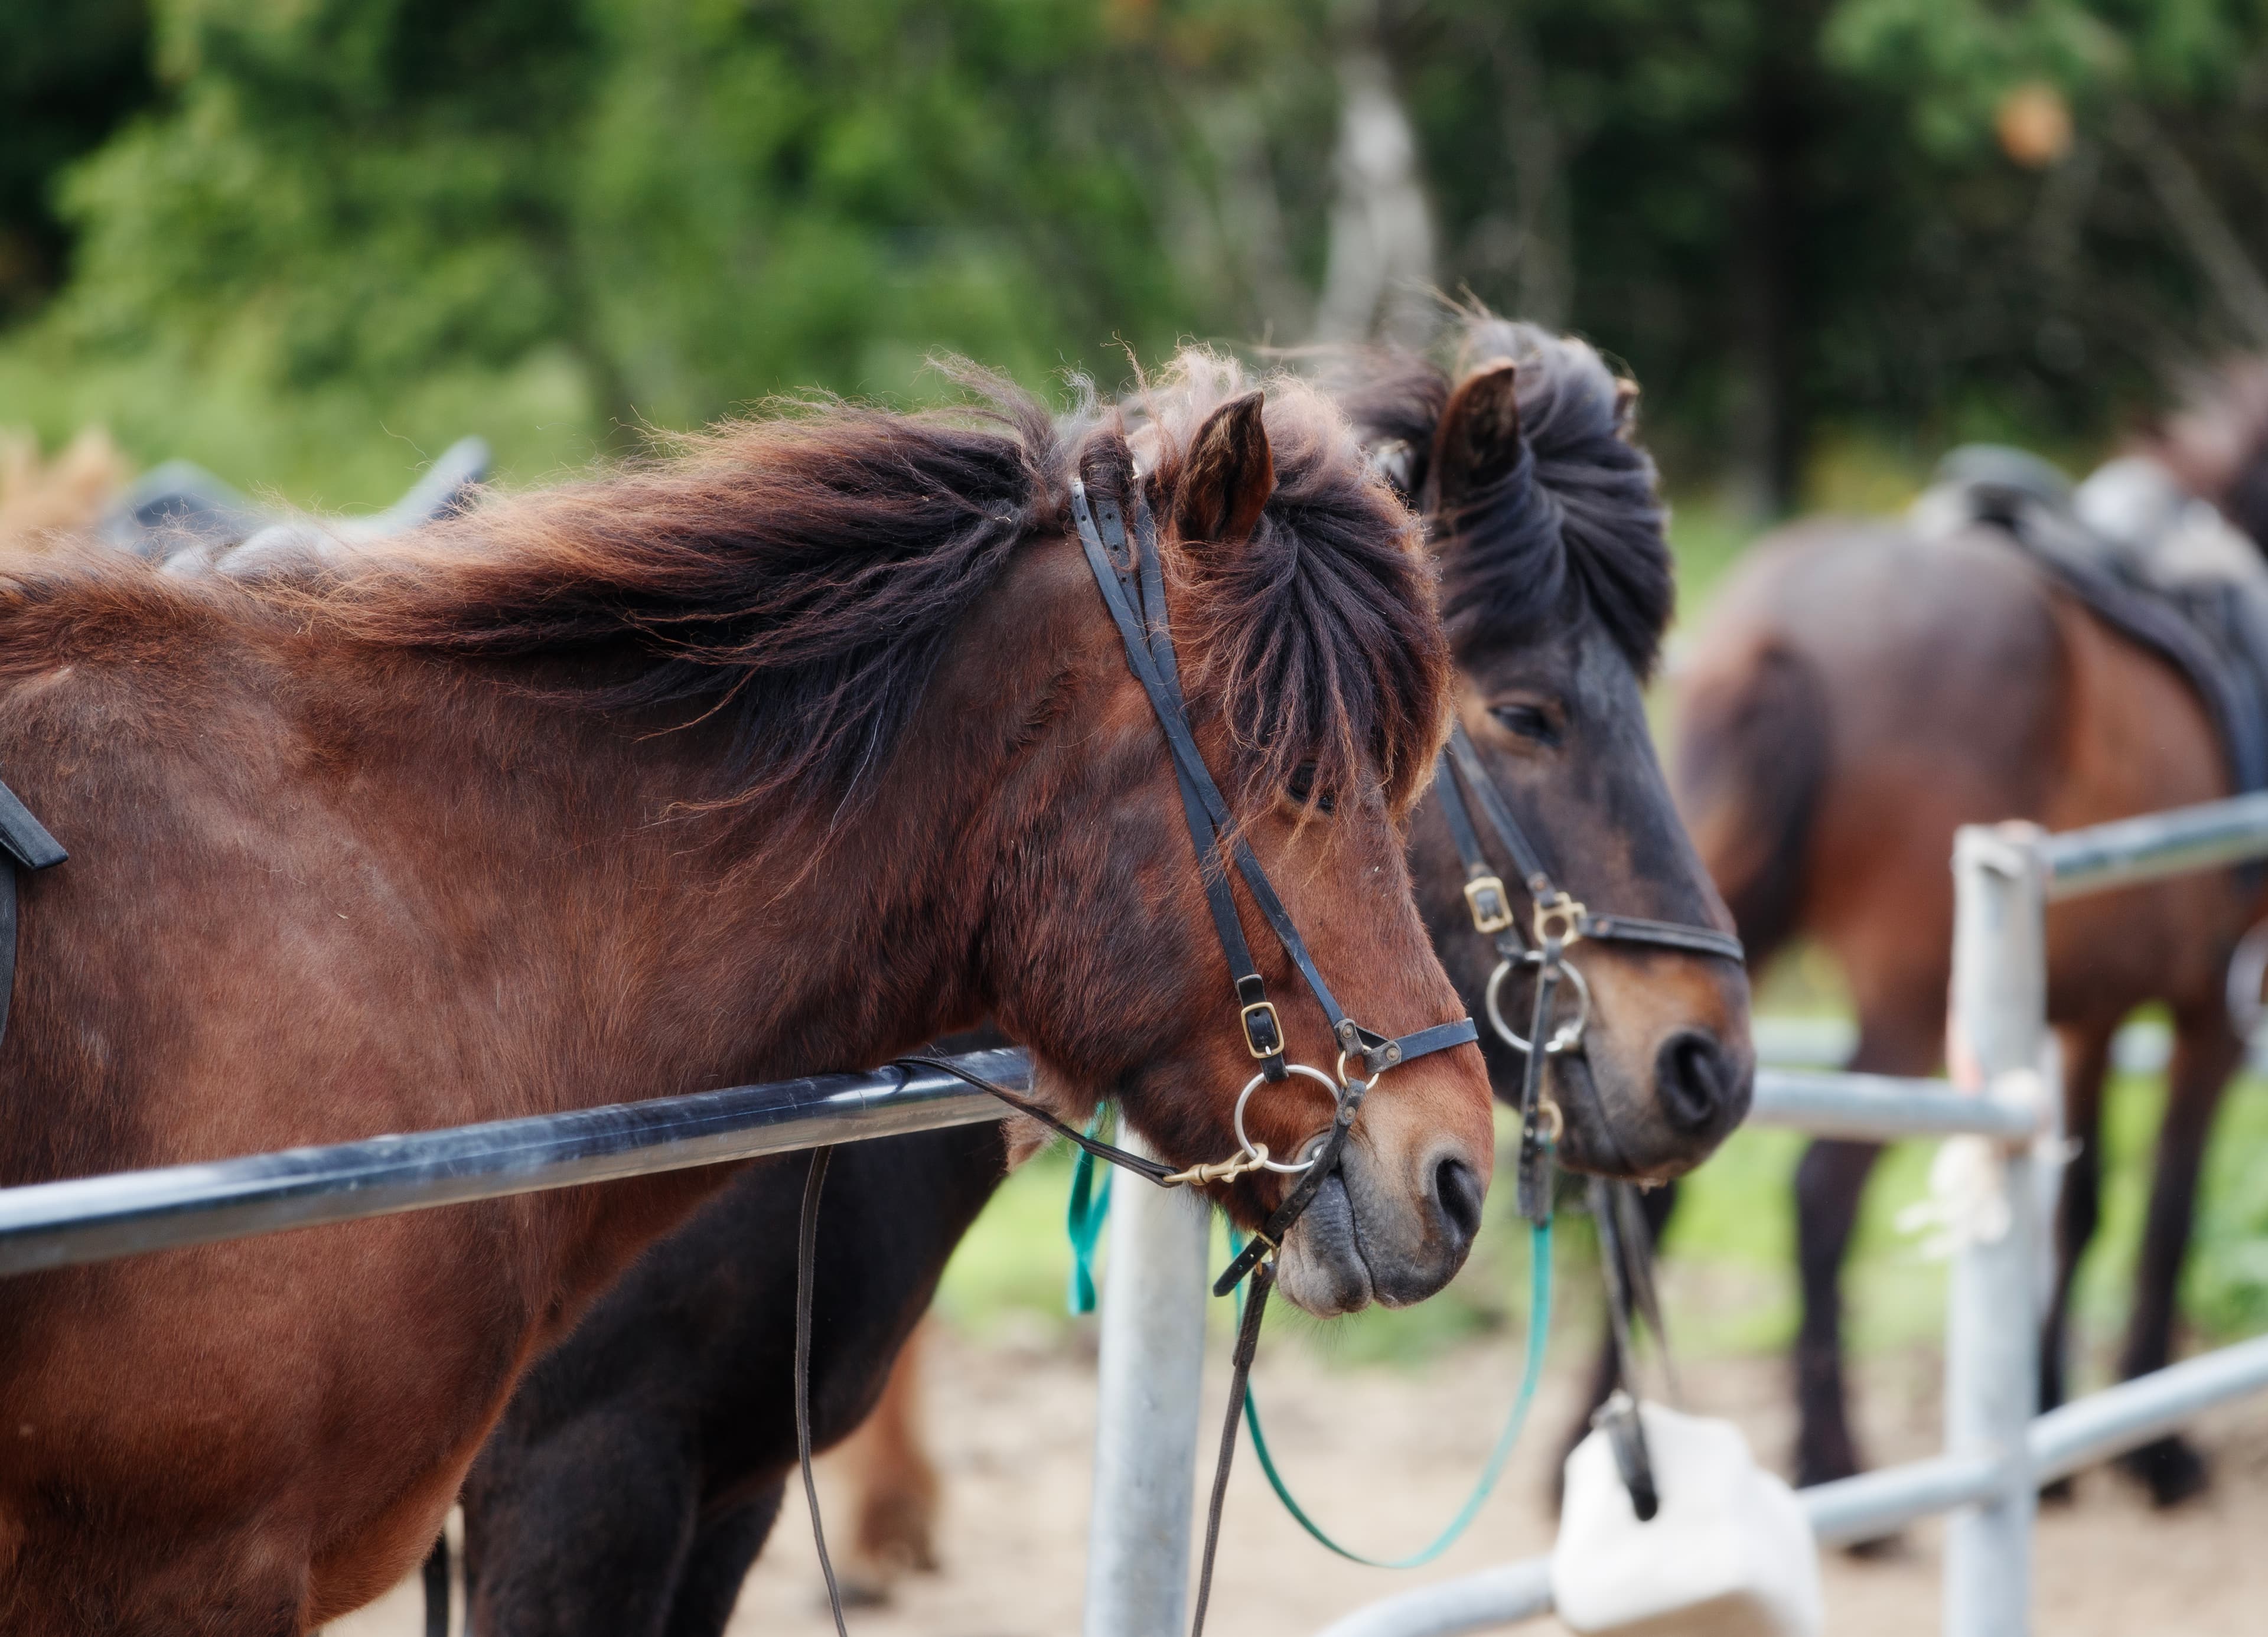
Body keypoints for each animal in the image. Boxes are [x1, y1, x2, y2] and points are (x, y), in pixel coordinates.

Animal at [1658, 358, 2268, 1508]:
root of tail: (1778, 632)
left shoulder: (2085, 1018)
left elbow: (2078, 1209)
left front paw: (2051, 1417)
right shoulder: (2211, 1016)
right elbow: (2162, 1217)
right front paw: (2153, 1448)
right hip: (1904, 1009)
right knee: (1820, 1193)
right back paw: (1835, 1467)